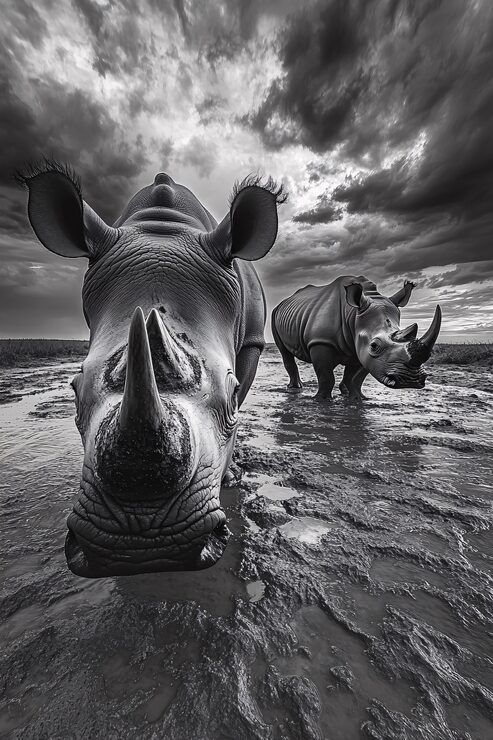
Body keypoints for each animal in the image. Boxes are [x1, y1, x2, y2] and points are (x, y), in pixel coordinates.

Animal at [21, 162, 285, 577]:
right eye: (74, 392)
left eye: (230, 395)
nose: (142, 545)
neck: (164, 226)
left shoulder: (255, 341)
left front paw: (227, 475)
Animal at [272, 275, 441, 401]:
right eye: (374, 346)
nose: (410, 381)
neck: (353, 315)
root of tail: (284, 302)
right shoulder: (321, 342)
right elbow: (326, 377)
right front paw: (322, 400)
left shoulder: (362, 348)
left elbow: (357, 377)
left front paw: (358, 398)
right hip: (275, 314)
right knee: (285, 352)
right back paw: (295, 388)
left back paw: (344, 391)